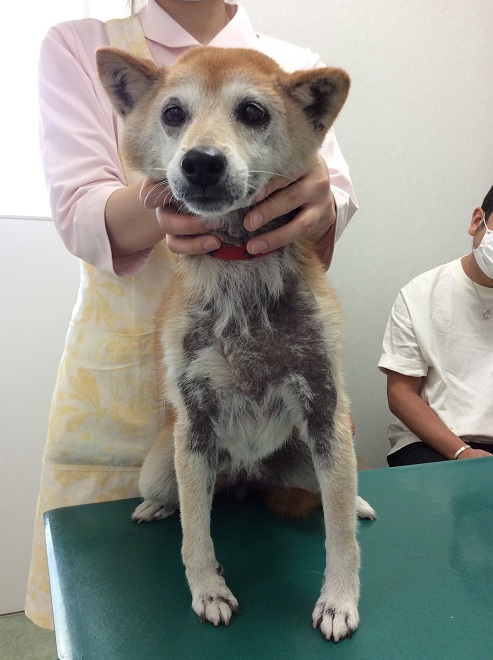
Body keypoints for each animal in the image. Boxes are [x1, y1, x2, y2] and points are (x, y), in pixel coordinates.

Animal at [96, 45, 374, 640]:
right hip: (165, 469)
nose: (200, 162)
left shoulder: (325, 408)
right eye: (173, 113)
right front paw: (208, 589)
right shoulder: (195, 424)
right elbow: (195, 534)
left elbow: (339, 533)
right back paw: (155, 509)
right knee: (178, 500)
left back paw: (359, 499)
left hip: (321, 453)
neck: (239, 274)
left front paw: (339, 599)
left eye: (251, 111)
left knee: (334, 496)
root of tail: (247, 475)